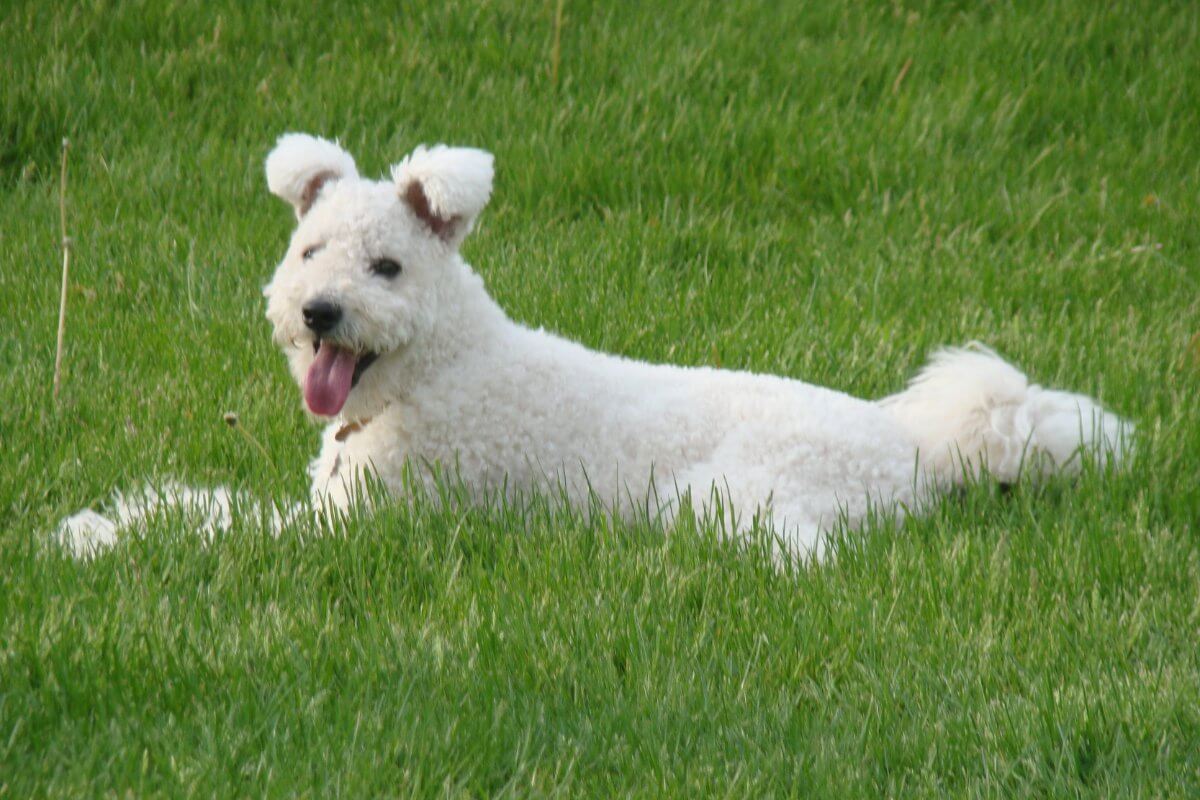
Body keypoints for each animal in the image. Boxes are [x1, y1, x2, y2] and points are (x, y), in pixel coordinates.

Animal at [56, 134, 1128, 561]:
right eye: (309, 251)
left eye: (388, 268)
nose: (319, 313)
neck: (438, 369)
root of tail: (914, 445)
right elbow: (200, 504)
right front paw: (104, 520)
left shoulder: (357, 528)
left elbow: (217, 527)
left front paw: (104, 538)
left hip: (727, 495)